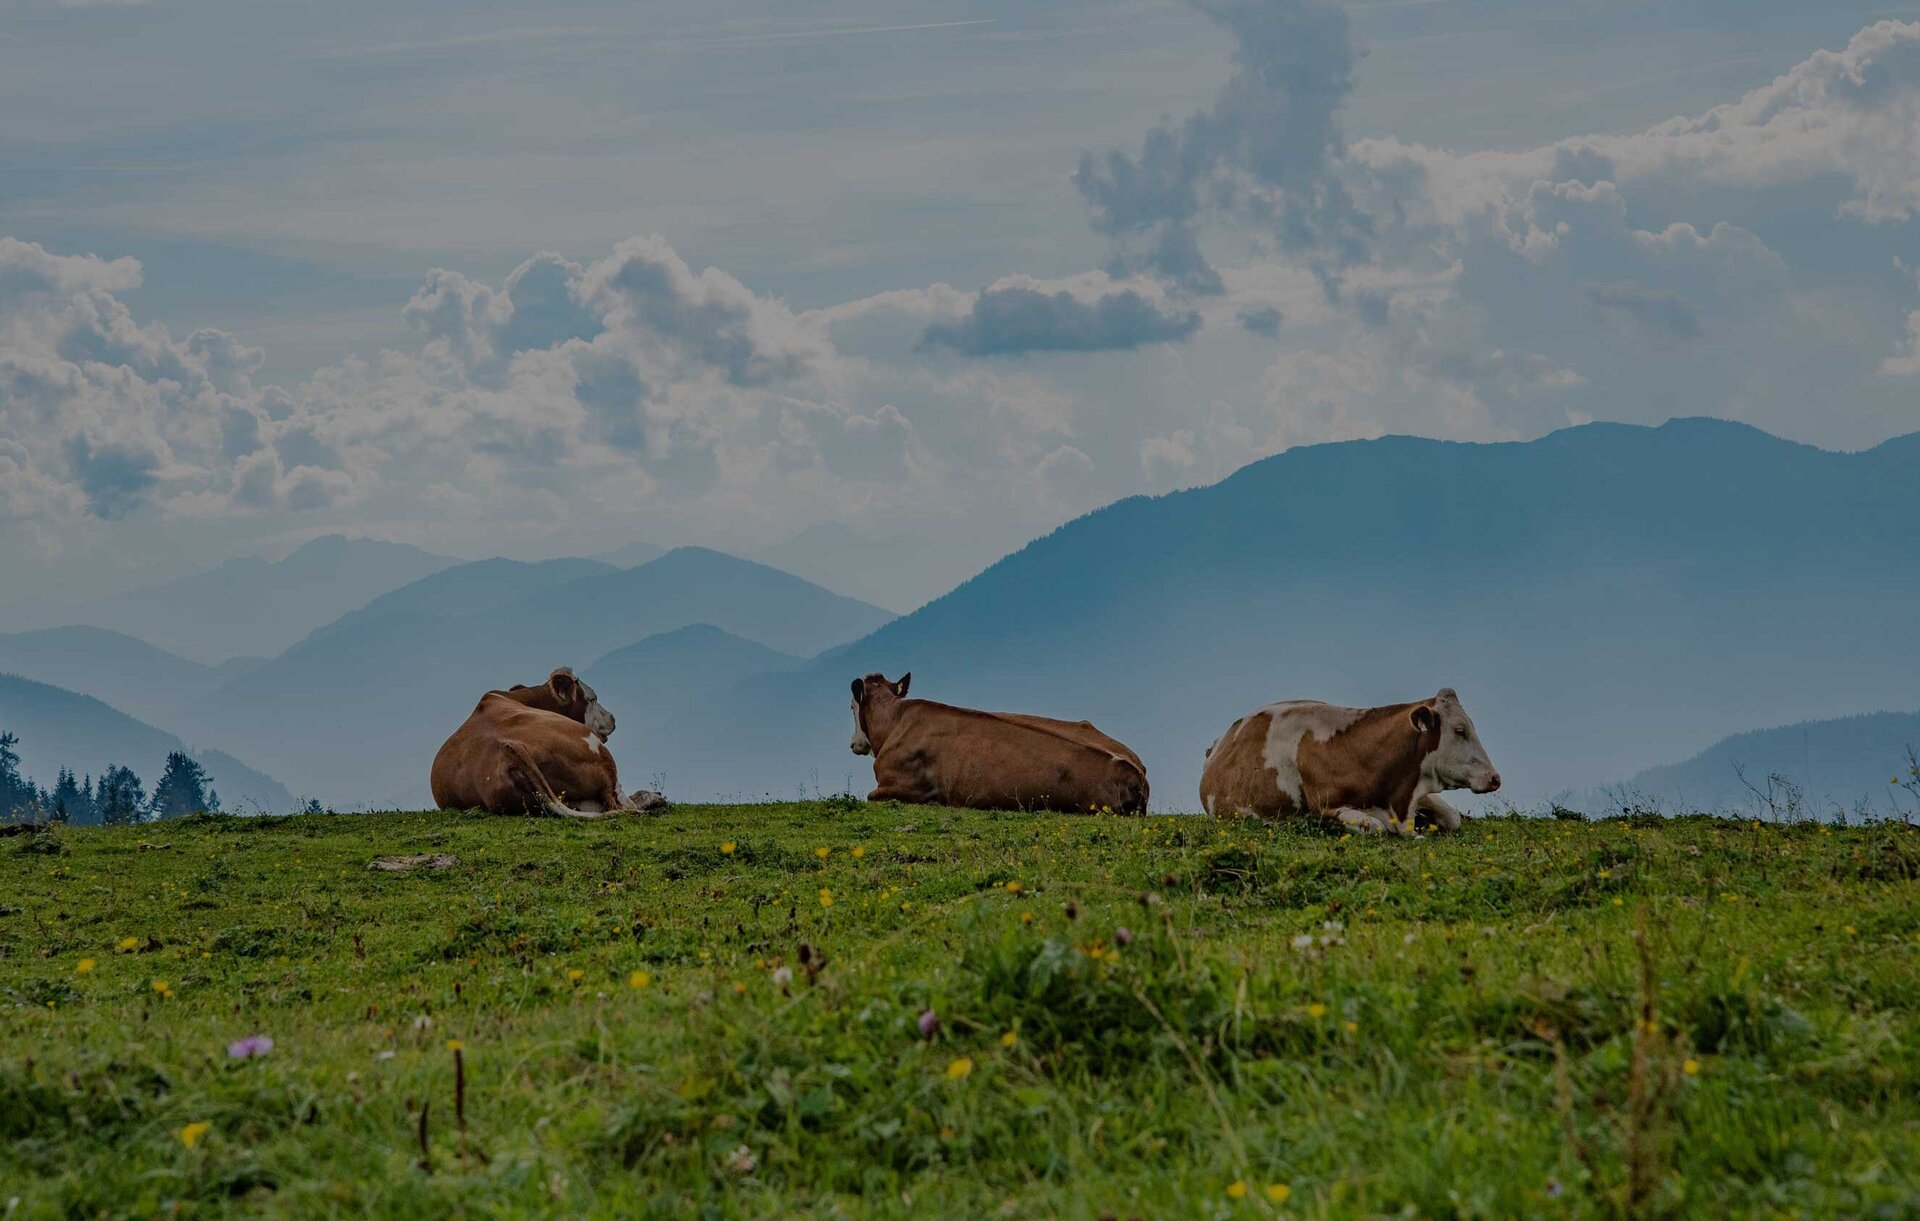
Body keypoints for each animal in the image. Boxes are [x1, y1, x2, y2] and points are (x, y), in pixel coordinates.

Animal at [428, 668, 668, 821]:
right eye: (592, 698)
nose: (613, 718)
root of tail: (511, 750)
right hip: (600, 756)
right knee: (619, 801)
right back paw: (654, 798)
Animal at [848, 671, 1144, 814]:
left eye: (851, 706)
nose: (853, 743)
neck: (895, 722)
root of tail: (1135, 771)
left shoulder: (897, 785)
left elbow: (871, 796)